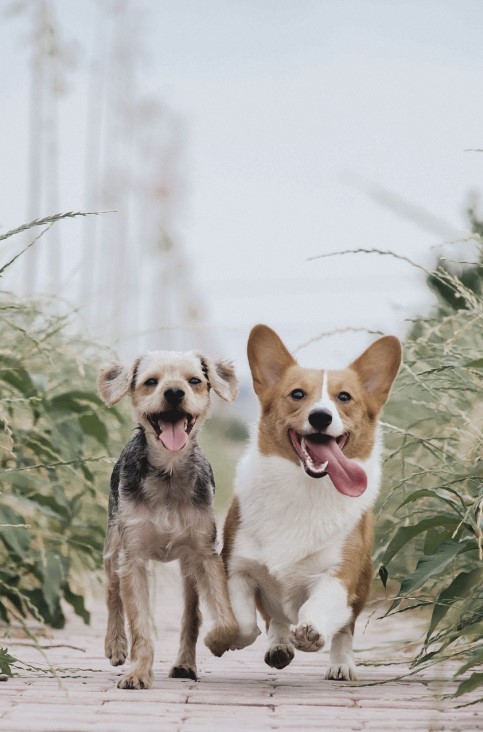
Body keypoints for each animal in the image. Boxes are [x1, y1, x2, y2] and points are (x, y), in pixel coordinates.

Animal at [98, 348, 240, 688]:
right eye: (151, 382)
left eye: (195, 381)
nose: (174, 392)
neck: (169, 472)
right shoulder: (133, 557)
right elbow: (139, 624)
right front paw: (137, 671)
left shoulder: (205, 553)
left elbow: (225, 618)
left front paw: (219, 641)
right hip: (113, 544)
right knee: (112, 592)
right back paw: (115, 645)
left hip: (188, 568)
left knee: (192, 614)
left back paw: (185, 664)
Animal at [221, 326, 402, 680]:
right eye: (297, 394)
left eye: (344, 397)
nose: (320, 416)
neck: (303, 489)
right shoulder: (237, 568)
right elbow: (246, 621)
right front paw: (236, 638)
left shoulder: (338, 575)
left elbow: (319, 607)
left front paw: (311, 633)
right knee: (275, 618)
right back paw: (279, 646)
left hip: (362, 585)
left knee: (345, 628)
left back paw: (341, 664)